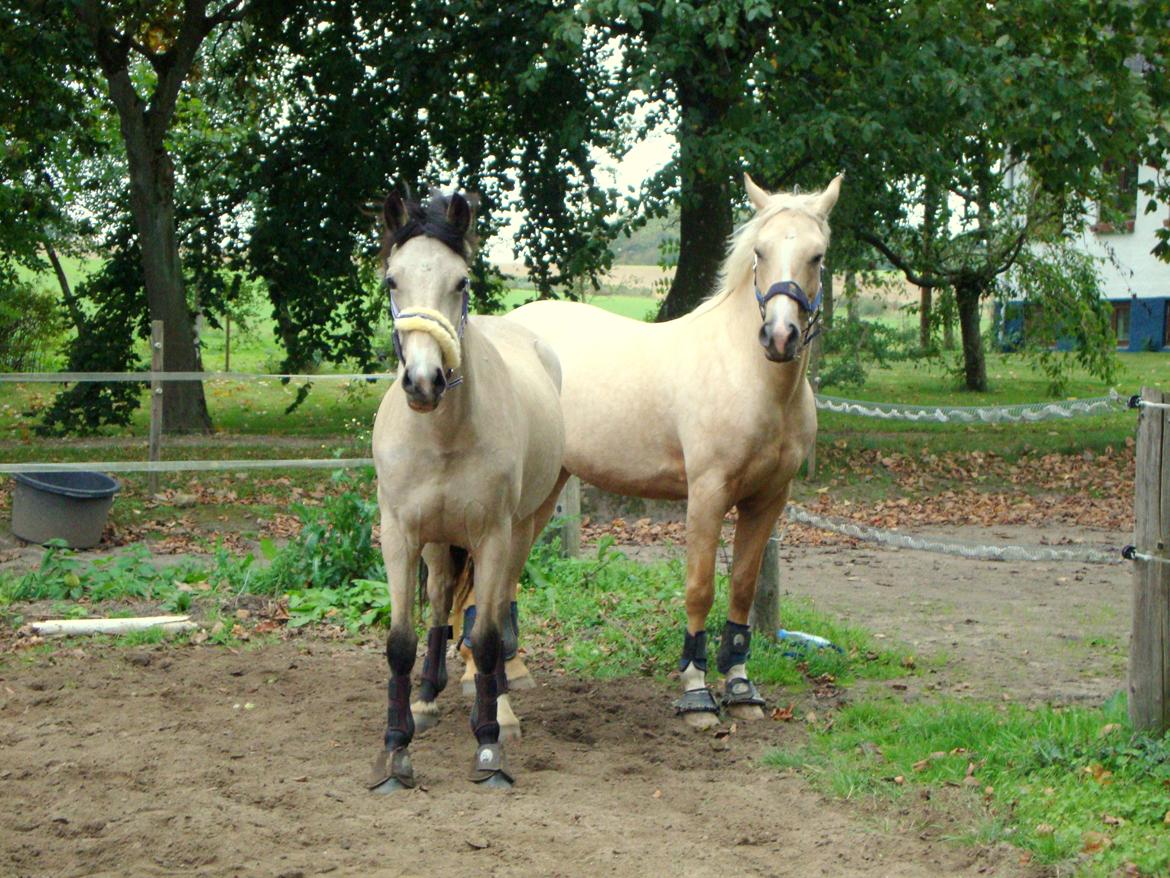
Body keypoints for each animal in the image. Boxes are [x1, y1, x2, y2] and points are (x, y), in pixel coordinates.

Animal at [367, 189, 563, 796]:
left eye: (461, 282)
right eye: (392, 280)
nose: (424, 382)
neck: (445, 434)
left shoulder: (494, 535)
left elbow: (488, 636)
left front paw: (489, 744)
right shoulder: (400, 534)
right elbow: (401, 641)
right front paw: (396, 750)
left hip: (525, 528)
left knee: (493, 615)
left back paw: (499, 706)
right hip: (436, 539)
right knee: (440, 601)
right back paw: (427, 699)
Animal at [505, 175, 842, 730]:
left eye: (817, 256)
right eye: (760, 251)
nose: (779, 336)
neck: (752, 380)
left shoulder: (768, 499)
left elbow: (743, 586)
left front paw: (741, 688)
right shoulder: (706, 495)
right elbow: (700, 587)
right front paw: (696, 693)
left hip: (546, 488)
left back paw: (508, 669)